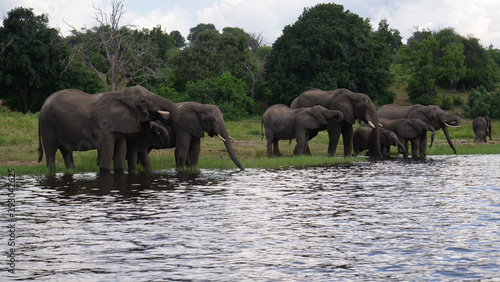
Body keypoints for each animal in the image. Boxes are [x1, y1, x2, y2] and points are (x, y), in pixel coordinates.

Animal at [39, 86, 180, 174]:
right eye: (143, 101)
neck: (120, 94)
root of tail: (43, 103)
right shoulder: (102, 126)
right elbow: (108, 152)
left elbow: (120, 152)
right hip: (47, 124)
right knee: (50, 151)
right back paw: (51, 172)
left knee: (67, 152)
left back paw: (71, 171)